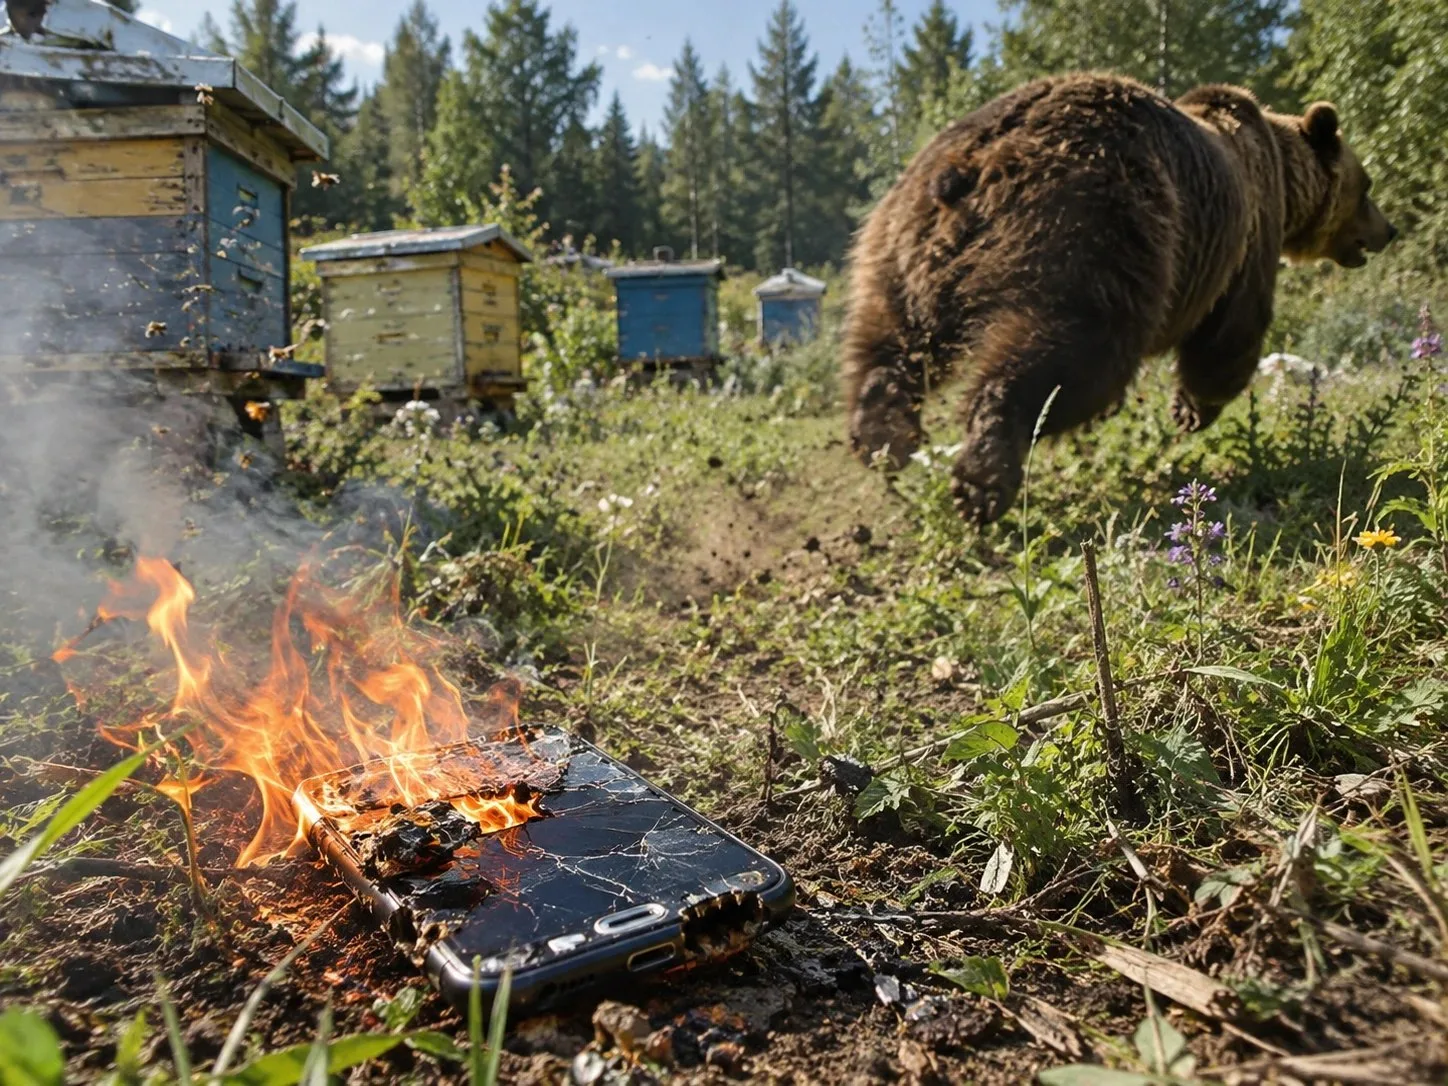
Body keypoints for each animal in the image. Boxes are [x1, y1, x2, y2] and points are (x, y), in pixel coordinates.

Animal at [841, 72, 1397, 524]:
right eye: (1367, 182)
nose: (1389, 229)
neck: (1281, 171)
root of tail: (968, 168)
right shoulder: (1245, 240)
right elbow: (1230, 336)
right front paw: (1192, 409)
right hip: (1088, 229)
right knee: (1070, 351)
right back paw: (982, 481)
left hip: (898, 246)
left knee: (891, 342)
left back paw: (882, 439)